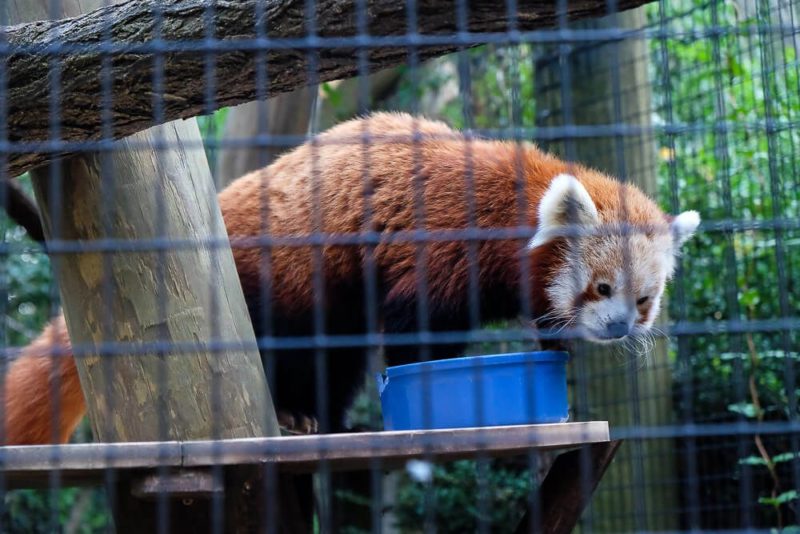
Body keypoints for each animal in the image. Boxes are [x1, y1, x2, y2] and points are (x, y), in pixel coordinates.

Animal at [1, 112, 700, 444]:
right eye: (601, 288)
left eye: (644, 300)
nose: (618, 328)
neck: (511, 202)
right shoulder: (438, 245)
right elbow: (416, 330)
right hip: (271, 279)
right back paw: (295, 413)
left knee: (334, 360)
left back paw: (327, 420)